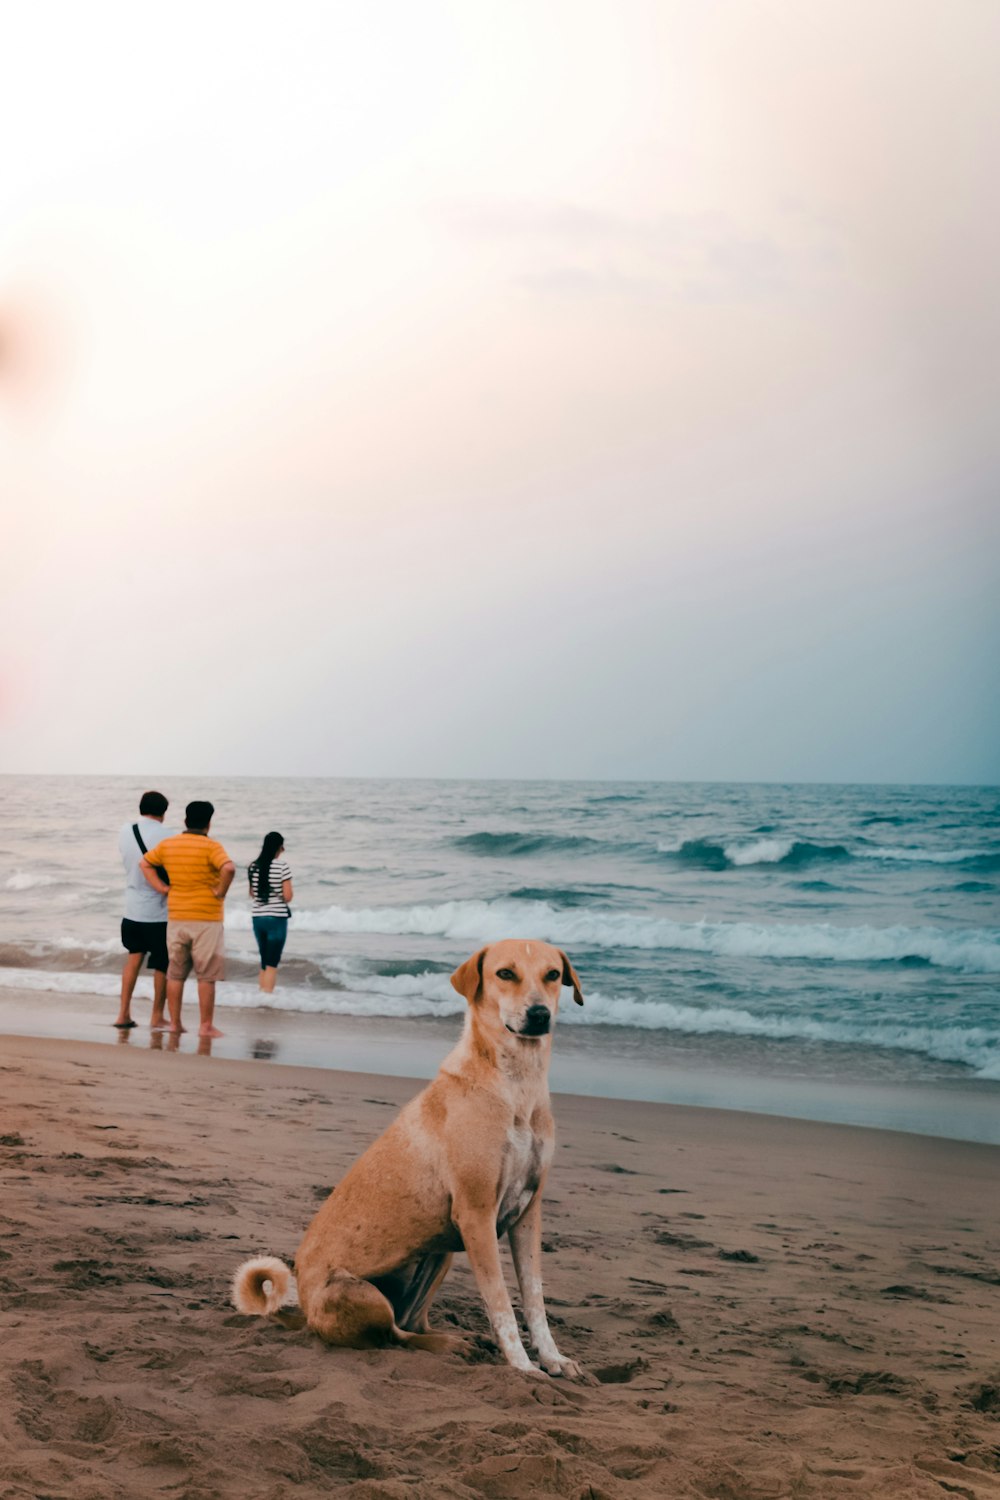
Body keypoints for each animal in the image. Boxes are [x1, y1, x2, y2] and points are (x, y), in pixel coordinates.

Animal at [230, 942, 590, 1374]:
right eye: (505, 973)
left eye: (553, 975)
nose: (539, 1015)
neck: (518, 1084)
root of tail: (304, 1312)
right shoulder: (477, 1215)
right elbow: (501, 1303)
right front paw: (523, 1368)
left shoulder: (527, 1214)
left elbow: (534, 1299)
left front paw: (553, 1358)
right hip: (358, 1293)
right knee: (393, 1334)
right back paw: (447, 1345)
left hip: (440, 1253)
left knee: (412, 1321)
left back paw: (454, 1341)